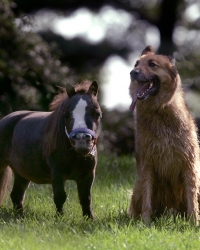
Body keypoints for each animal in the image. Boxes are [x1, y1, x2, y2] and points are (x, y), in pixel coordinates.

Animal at [0, 80, 101, 219]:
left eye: (97, 113)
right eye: (66, 115)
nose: (81, 140)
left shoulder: (88, 175)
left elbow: (86, 198)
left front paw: (89, 219)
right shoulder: (57, 173)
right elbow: (60, 196)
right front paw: (60, 218)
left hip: (22, 173)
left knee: (17, 195)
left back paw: (20, 215)